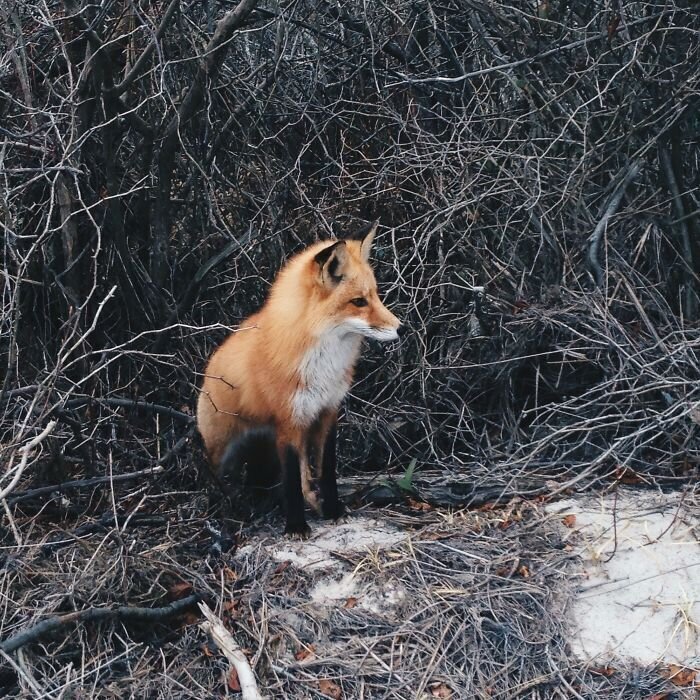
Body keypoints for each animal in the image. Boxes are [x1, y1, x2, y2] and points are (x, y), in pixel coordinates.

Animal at [197, 224, 404, 536]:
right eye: (358, 302)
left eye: (376, 296)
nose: (401, 329)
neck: (323, 363)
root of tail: (209, 367)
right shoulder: (288, 422)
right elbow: (292, 481)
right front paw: (295, 525)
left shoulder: (327, 412)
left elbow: (326, 471)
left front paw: (332, 510)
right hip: (222, 450)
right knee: (216, 483)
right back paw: (222, 514)